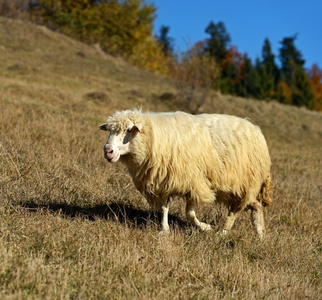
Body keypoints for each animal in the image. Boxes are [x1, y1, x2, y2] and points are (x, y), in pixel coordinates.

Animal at [98, 109, 272, 238]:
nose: (108, 151)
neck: (153, 137)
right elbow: (164, 208)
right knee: (254, 205)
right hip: (233, 187)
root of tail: (256, 129)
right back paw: (260, 235)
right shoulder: (164, 182)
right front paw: (164, 230)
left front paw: (206, 228)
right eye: (110, 131)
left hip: (244, 182)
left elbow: (189, 214)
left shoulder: (194, 183)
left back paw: (223, 232)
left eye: (128, 130)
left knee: (236, 210)